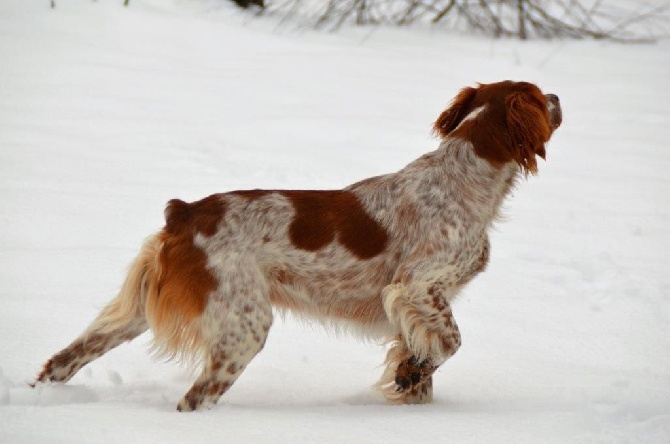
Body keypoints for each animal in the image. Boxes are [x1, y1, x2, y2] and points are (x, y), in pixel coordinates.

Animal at [34, 80, 564, 412]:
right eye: (541, 97)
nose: (559, 96)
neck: (464, 176)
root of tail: (184, 212)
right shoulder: (415, 286)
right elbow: (450, 343)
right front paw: (410, 376)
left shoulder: (417, 306)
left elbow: (421, 362)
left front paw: (410, 387)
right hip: (244, 326)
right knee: (194, 397)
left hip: (138, 312)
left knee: (65, 358)